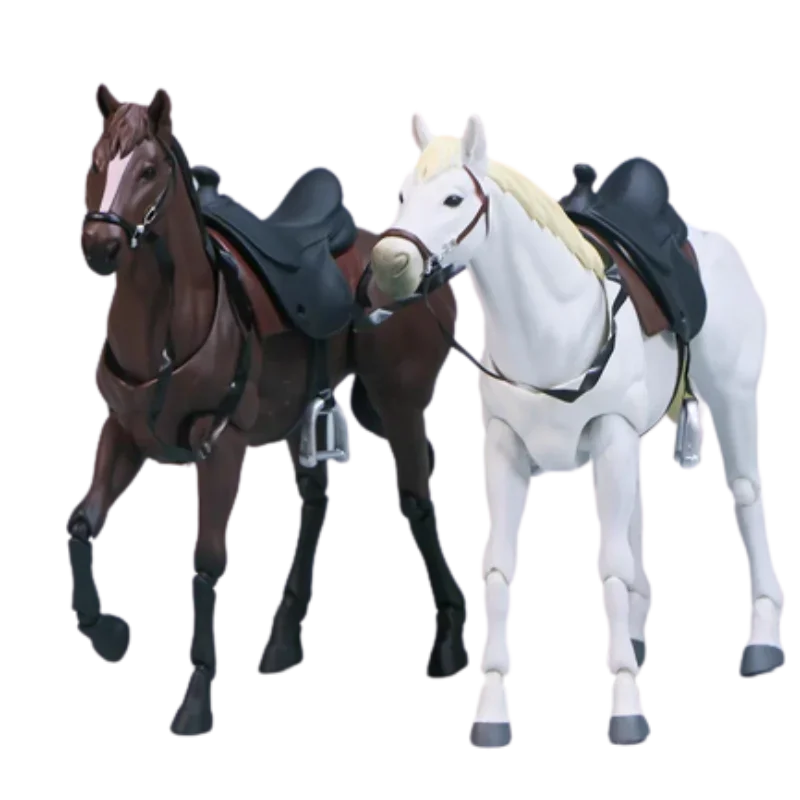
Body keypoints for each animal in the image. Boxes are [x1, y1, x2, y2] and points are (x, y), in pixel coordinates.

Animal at [73, 86, 469, 736]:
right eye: (99, 160)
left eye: (149, 171)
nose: (101, 245)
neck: (170, 324)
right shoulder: (123, 433)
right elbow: (81, 525)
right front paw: (105, 631)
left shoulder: (221, 444)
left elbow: (206, 562)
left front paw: (194, 701)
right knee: (314, 499)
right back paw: (284, 639)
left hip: (399, 405)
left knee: (415, 500)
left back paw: (453, 641)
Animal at [369, 109, 785, 749]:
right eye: (399, 194)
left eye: (453, 197)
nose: (391, 267)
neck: (556, 326)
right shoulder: (506, 447)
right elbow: (499, 569)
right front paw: (491, 715)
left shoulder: (609, 436)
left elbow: (610, 564)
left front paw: (627, 709)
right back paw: (636, 640)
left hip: (734, 401)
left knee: (745, 493)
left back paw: (763, 644)